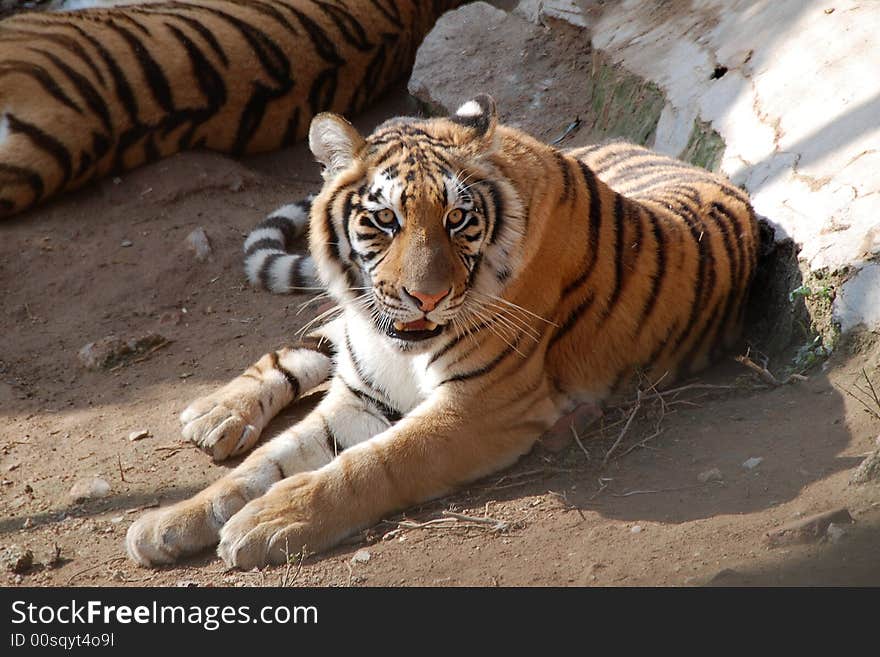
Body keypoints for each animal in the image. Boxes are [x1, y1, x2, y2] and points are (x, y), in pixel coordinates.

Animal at [125, 93, 764, 568]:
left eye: (458, 219)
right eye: (384, 219)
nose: (425, 297)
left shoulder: (481, 406)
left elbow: (371, 465)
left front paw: (268, 520)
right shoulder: (360, 393)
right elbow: (261, 465)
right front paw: (165, 523)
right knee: (309, 343)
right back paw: (216, 413)